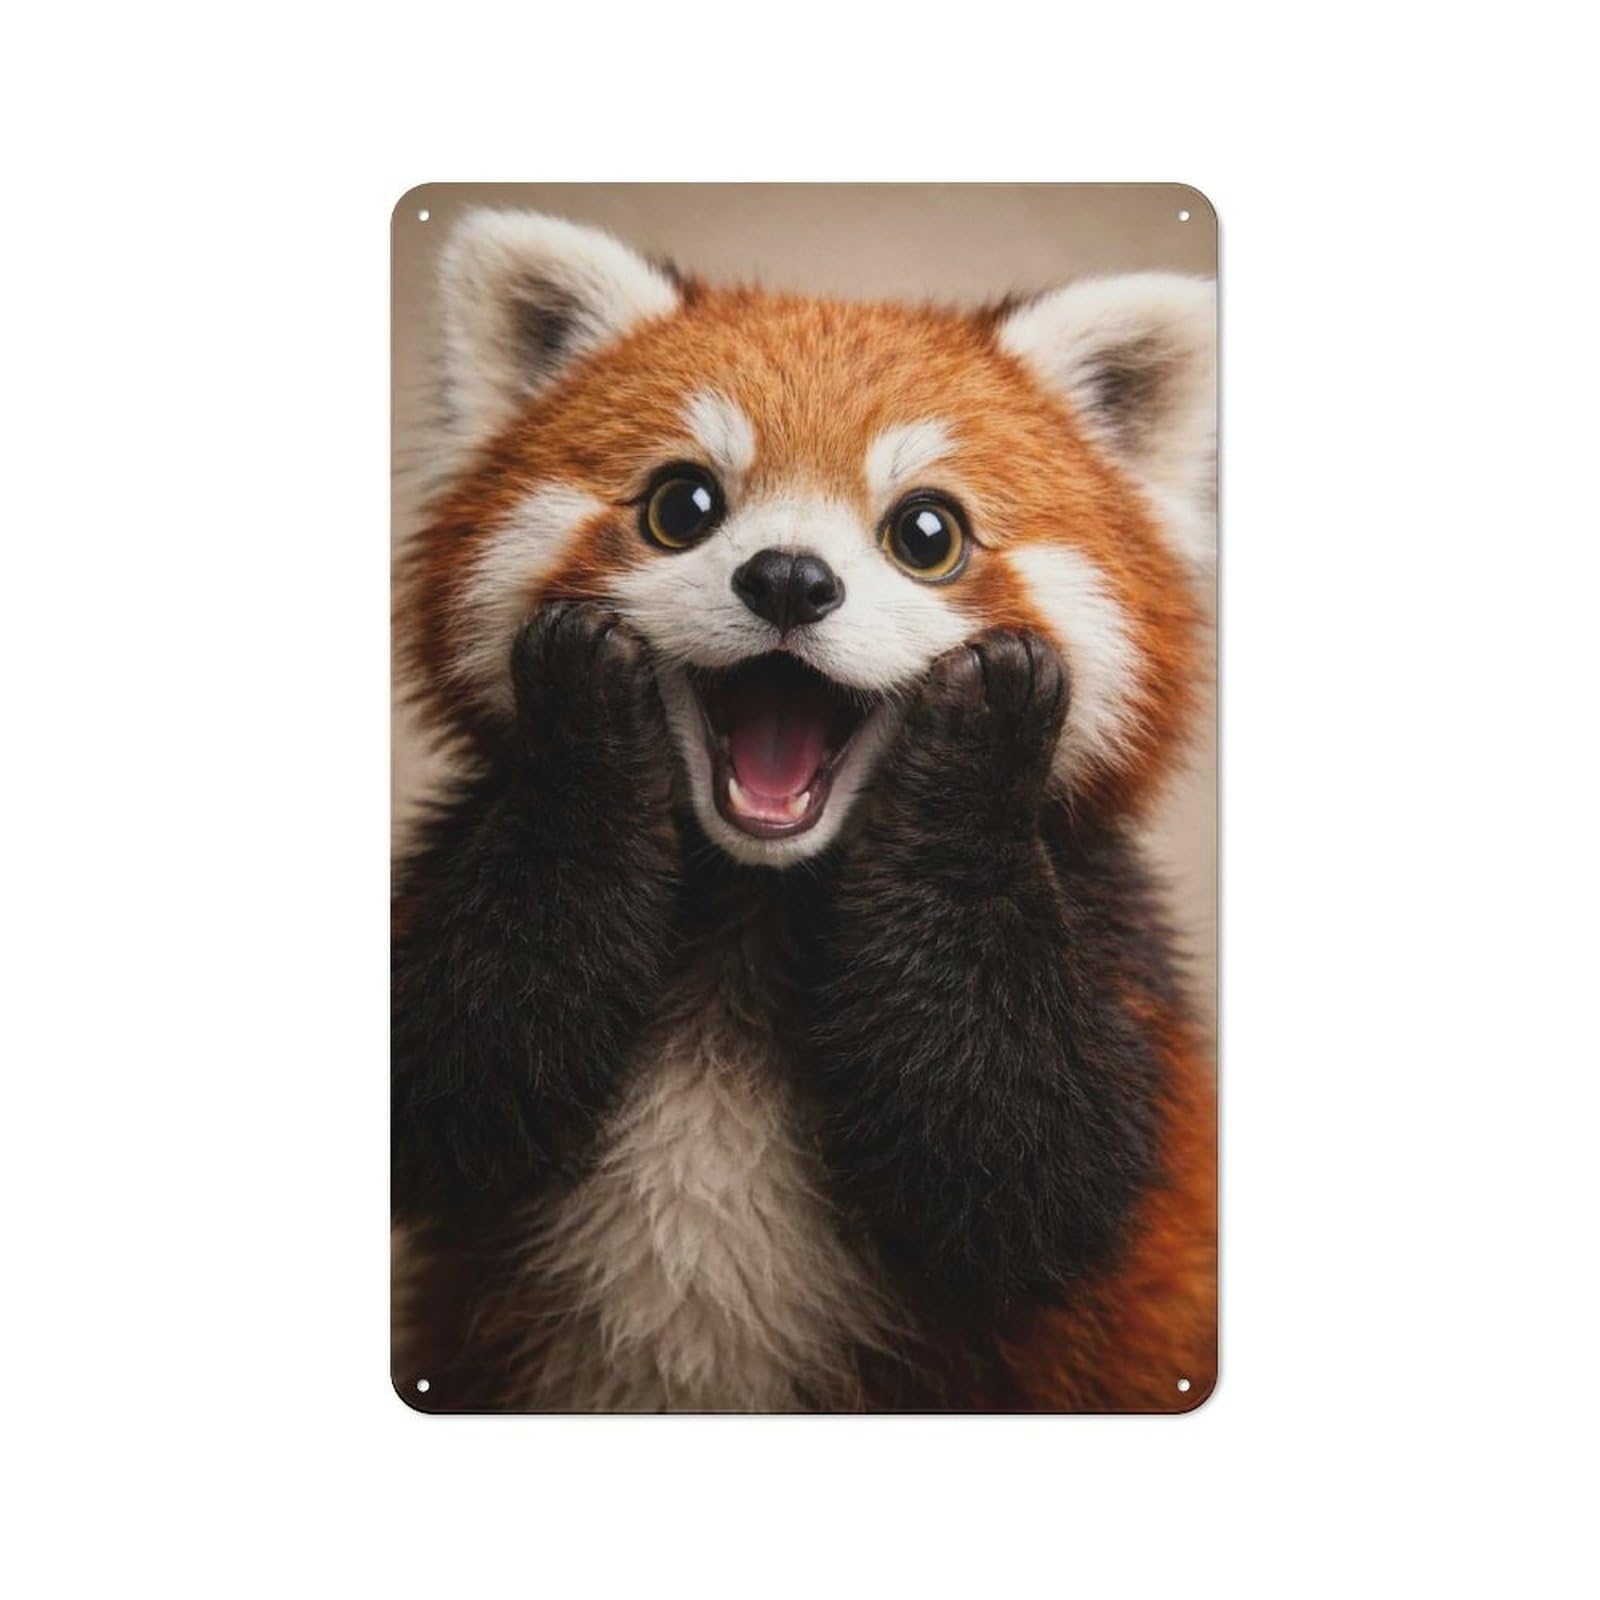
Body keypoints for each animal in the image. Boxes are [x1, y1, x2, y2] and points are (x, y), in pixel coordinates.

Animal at [393, 210, 1216, 1412]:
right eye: (682, 505)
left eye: (928, 532)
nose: (787, 578)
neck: (755, 898)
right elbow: (454, 1074)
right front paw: (585, 710)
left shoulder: (1117, 966)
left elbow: (1031, 1163)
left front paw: (981, 741)